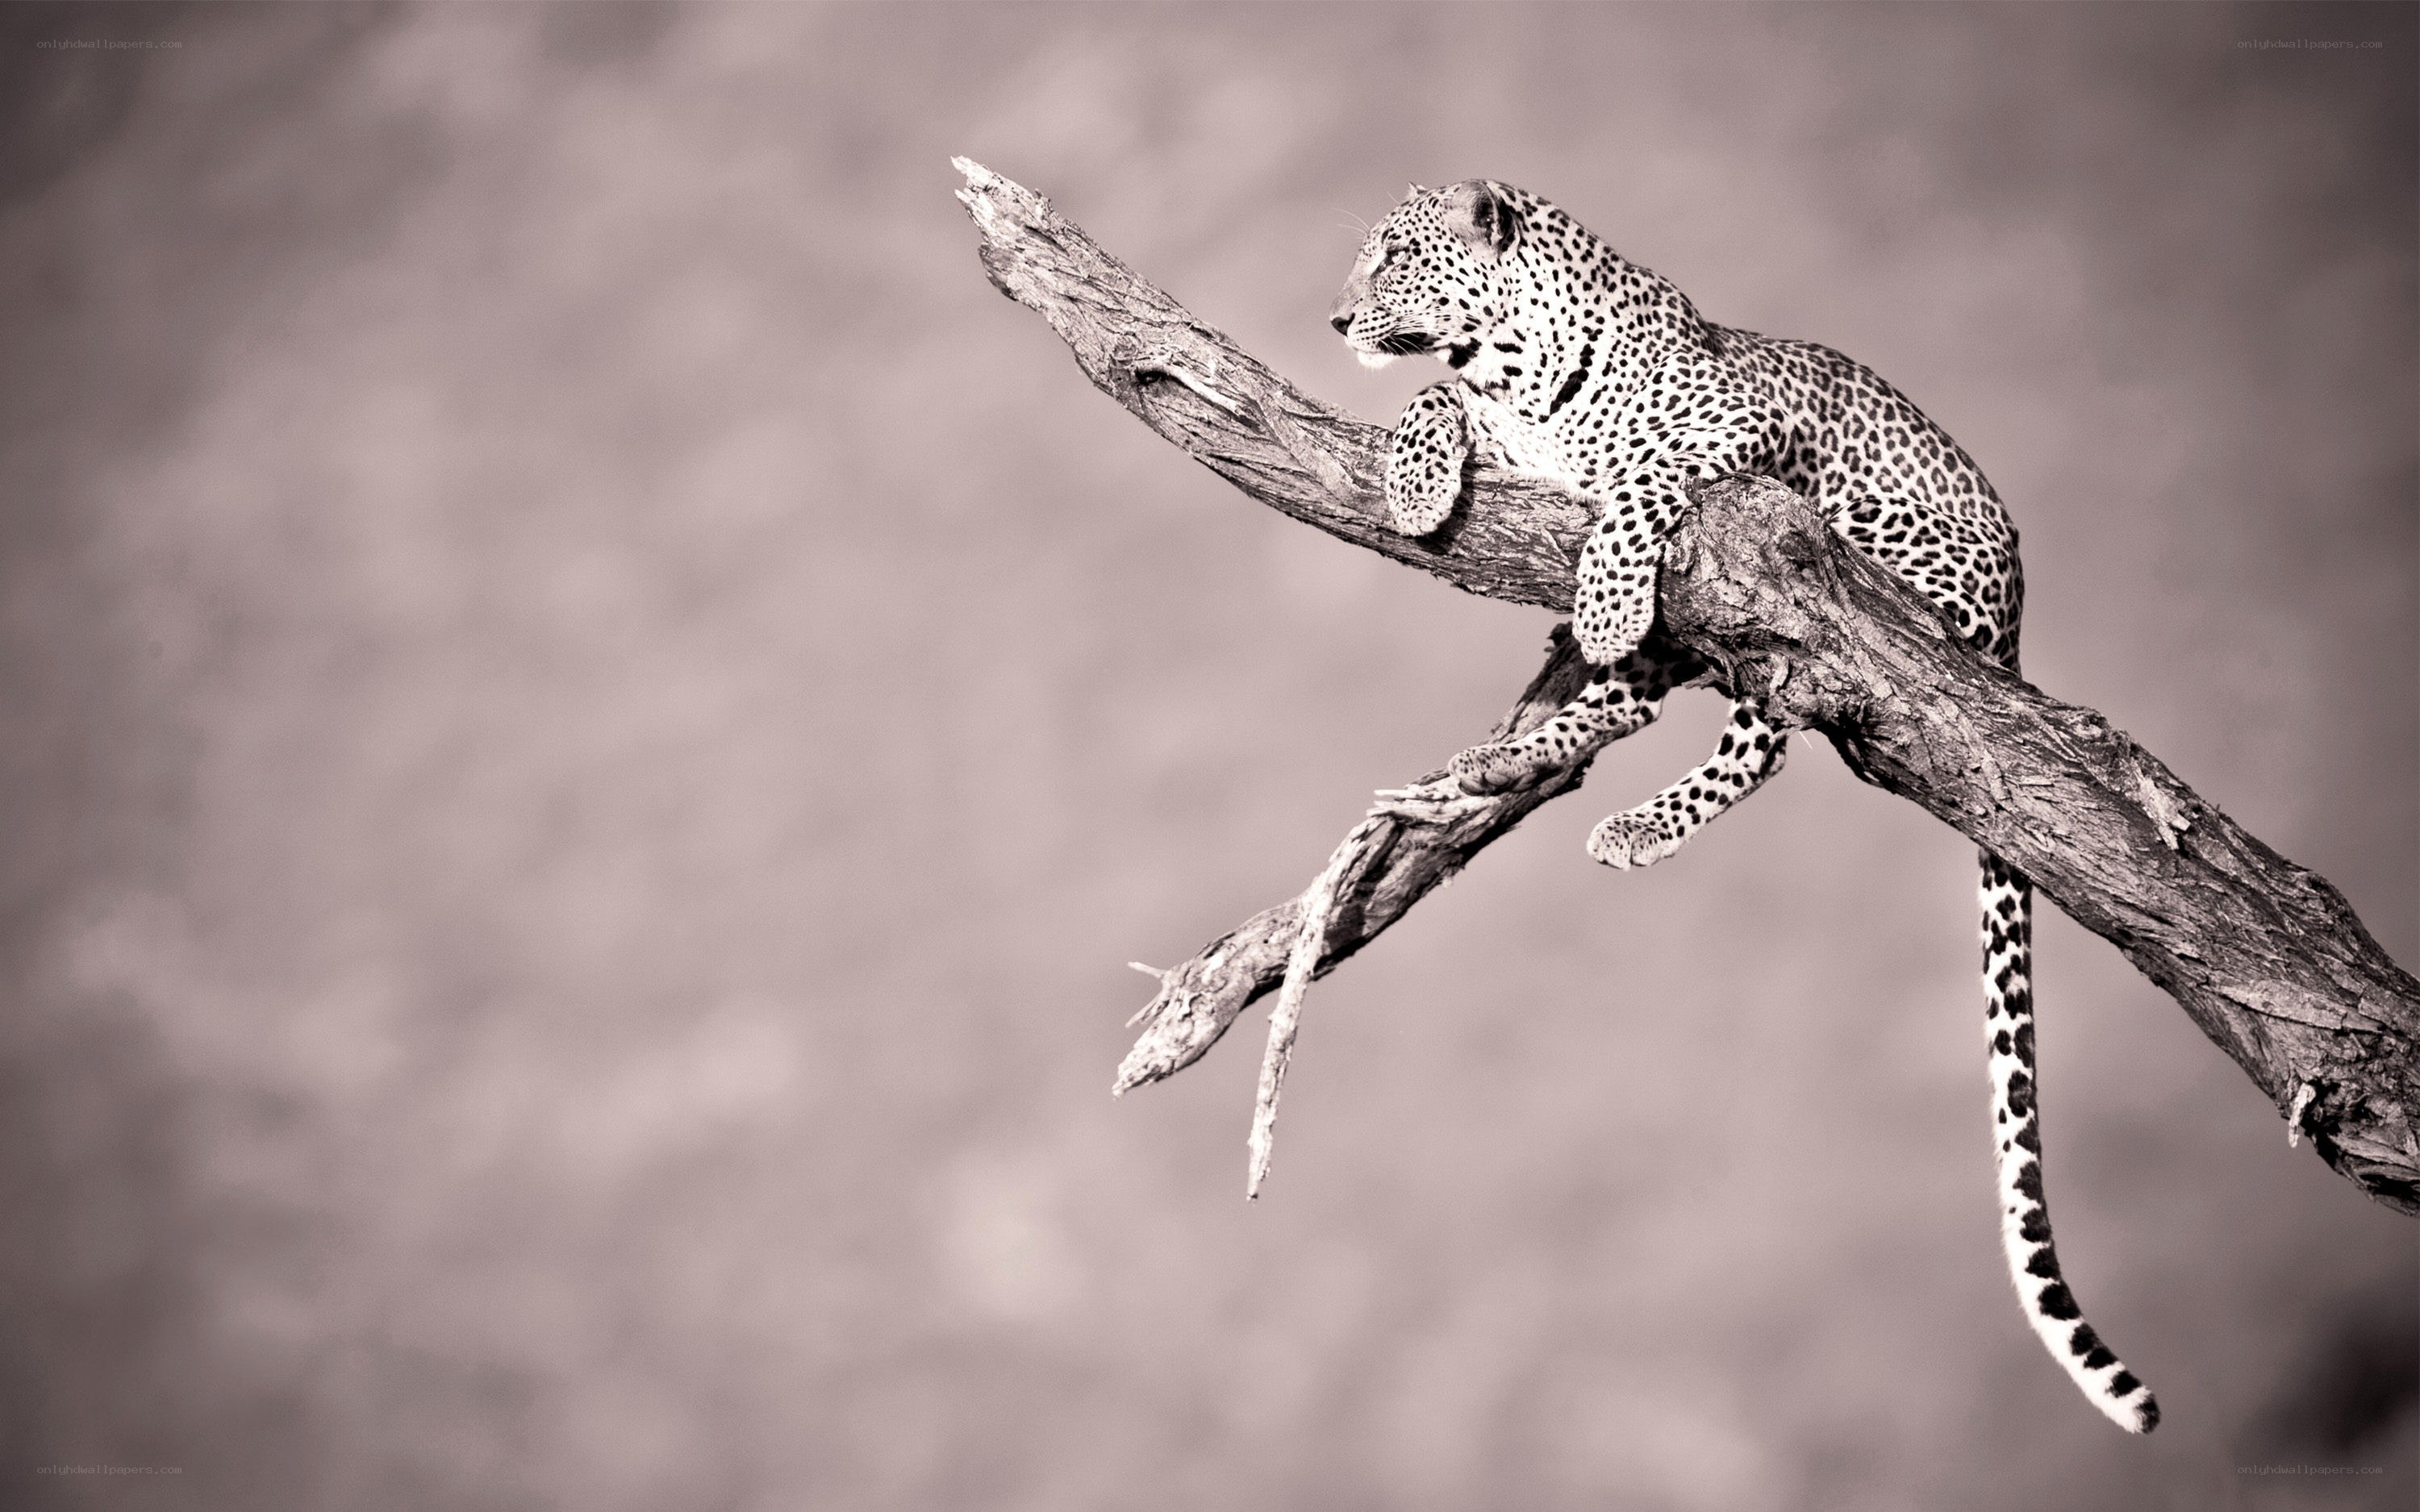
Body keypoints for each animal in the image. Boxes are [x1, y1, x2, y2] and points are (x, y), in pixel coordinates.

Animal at [1330, 179, 2157, 1435]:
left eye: (1395, 257)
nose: (1335, 319)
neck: (1513, 367)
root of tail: (2016, 620)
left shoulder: (1730, 431)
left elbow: (1636, 479)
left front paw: (1605, 589)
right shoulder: (1498, 421)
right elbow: (1433, 397)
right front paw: (1421, 485)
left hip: (1837, 572)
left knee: (1764, 730)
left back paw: (1624, 800)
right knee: (1637, 708)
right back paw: (1497, 766)